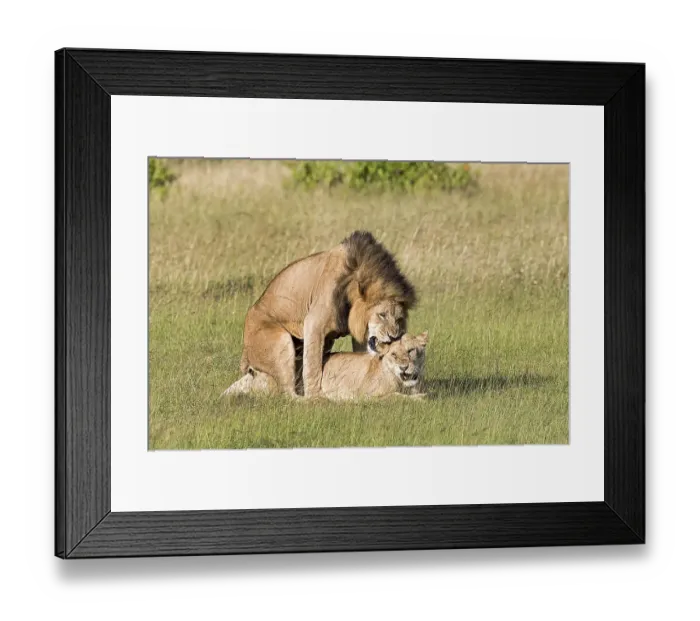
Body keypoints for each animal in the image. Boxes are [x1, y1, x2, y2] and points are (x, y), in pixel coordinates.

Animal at [221, 331, 429, 401]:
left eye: (411, 351)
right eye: (394, 355)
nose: (404, 368)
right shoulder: (369, 395)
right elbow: (395, 397)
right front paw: (420, 399)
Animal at [223, 231, 417, 399]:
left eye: (399, 319)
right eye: (382, 315)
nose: (394, 336)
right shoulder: (314, 324)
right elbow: (313, 368)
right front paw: (316, 396)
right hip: (280, 342)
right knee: (288, 395)